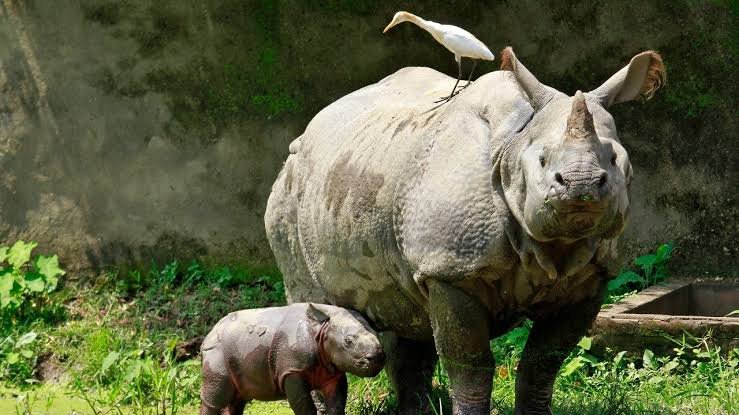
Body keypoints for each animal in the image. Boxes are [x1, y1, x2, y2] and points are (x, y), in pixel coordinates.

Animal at [264, 47, 665, 415]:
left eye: (614, 159)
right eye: (542, 160)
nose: (581, 184)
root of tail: (309, 129)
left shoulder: (590, 279)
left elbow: (543, 362)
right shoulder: (451, 270)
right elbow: (470, 363)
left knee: (408, 317)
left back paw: (416, 411)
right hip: (289, 191)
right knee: (315, 302)